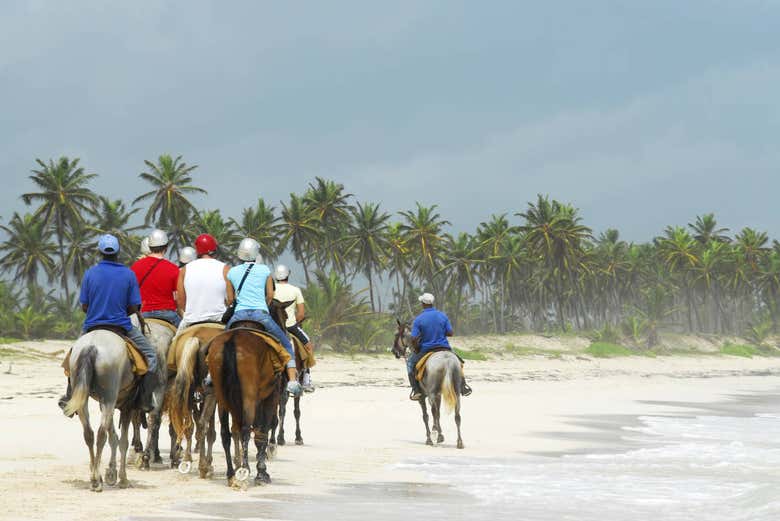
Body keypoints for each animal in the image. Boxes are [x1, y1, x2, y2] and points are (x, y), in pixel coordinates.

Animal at [61, 332, 147, 490]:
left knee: (89, 433)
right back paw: (96, 481)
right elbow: (123, 441)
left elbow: (113, 437)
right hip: (109, 396)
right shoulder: (127, 405)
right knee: (101, 433)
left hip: (85, 396)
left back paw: (95, 477)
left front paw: (110, 474)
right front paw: (123, 479)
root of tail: (91, 347)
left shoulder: (108, 403)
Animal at [394, 318, 460, 448]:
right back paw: (459, 442)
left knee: (433, 413)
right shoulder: (438, 395)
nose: (394, 351)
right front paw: (438, 433)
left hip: (432, 393)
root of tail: (447, 361)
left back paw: (435, 436)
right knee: (457, 415)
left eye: (396, 334)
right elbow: (437, 413)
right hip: (456, 392)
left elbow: (426, 416)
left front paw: (431, 437)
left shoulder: (424, 397)